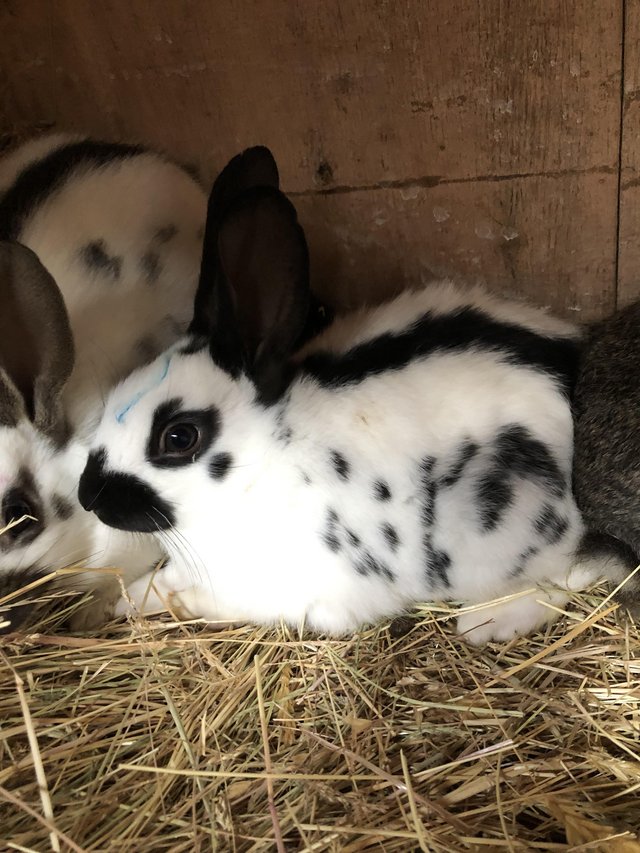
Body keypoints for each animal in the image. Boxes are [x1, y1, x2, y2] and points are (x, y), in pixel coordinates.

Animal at [77, 145, 623, 644]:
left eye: (179, 437)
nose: (88, 496)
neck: (265, 460)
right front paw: (125, 601)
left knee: (569, 574)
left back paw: (486, 621)